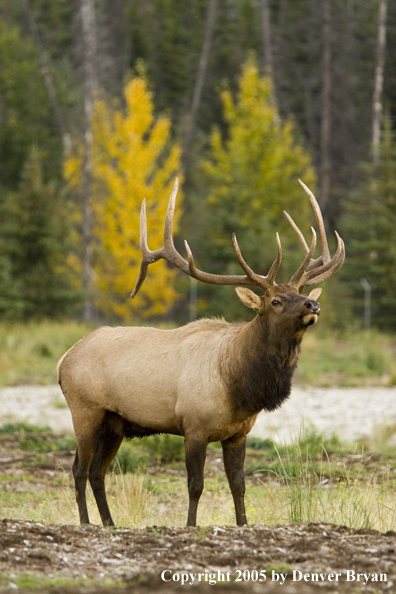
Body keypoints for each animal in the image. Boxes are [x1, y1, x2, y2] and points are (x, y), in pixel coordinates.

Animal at [57, 178, 344, 524]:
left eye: (300, 292)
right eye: (275, 300)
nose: (312, 304)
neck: (239, 384)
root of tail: (63, 360)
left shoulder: (238, 433)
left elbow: (239, 485)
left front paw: (243, 524)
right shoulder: (194, 426)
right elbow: (195, 485)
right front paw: (191, 525)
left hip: (114, 423)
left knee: (98, 472)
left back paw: (110, 524)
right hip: (85, 410)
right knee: (79, 469)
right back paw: (86, 523)